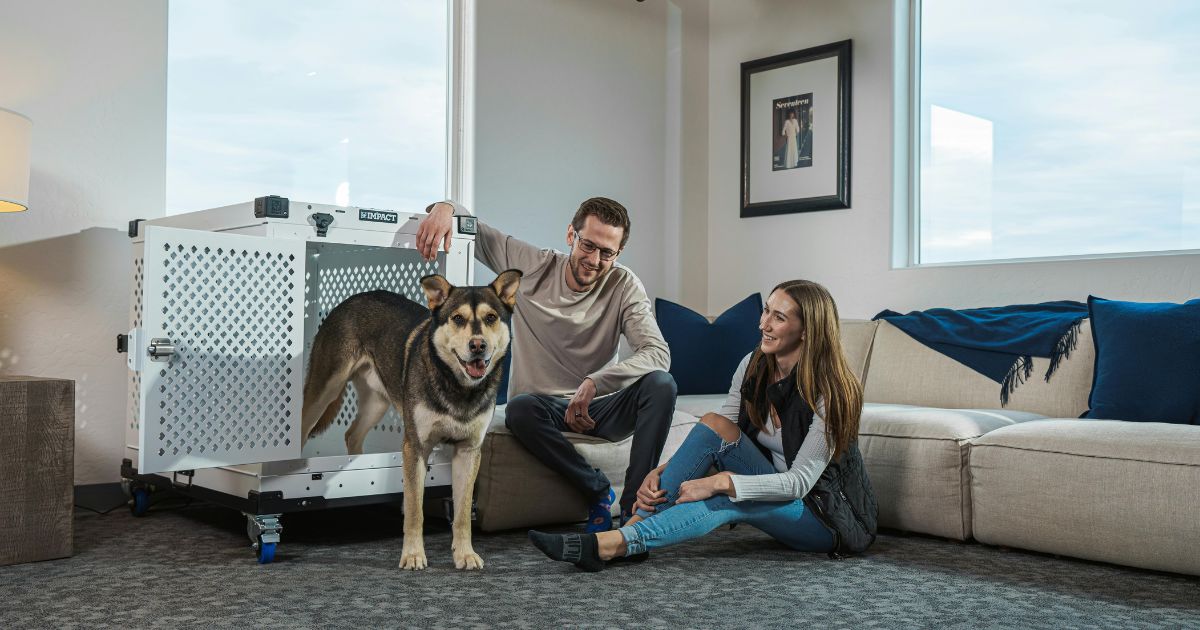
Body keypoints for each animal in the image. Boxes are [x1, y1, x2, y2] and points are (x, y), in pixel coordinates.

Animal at [300, 270, 520, 568]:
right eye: (457, 318)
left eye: (491, 318)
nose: (478, 345)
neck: (458, 386)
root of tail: (350, 300)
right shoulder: (416, 447)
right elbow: (416, 509)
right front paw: (414, 555)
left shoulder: (468, 451)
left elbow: (463, 514)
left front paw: (464, 554)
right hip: (325, 388)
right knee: (303, 425)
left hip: (377, 401)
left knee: (352, 433)